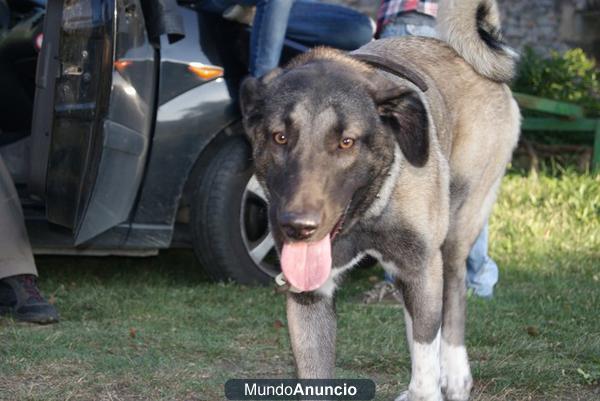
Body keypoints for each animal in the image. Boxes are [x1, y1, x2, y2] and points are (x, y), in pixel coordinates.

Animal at [239, 0, 520, 400]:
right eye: (279, 137)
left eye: (346, 142)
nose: (298, 227)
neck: (367, 213)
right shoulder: (311, 296)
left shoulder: (421, 264)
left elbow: (426, 359)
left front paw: (430, 384)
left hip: (457, 227)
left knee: (451, 297)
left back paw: (454, 373)